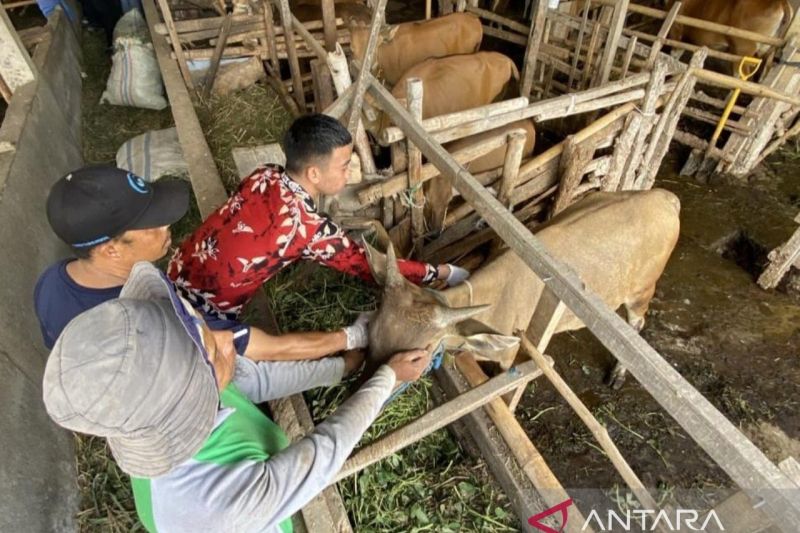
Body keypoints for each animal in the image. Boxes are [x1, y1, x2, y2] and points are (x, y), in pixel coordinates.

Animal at [362, 189, 680, 388]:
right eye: (371, 332)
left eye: (422, 352)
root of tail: (665, 197)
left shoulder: (508, 356)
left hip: (642, 291)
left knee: (638, 324)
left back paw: (618, 375)